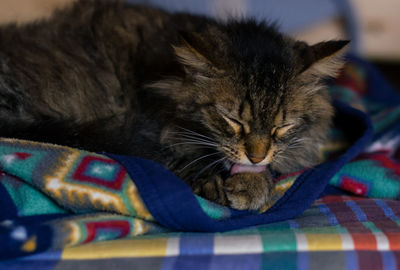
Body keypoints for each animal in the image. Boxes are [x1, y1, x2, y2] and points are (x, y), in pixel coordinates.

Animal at [0, 0, 346, 210]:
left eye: (282, 126)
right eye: (231, 119)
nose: (256, 154)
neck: (168, 75)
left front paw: (250, 179)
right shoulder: (147, 128)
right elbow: (181, 156)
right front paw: (239, 184)